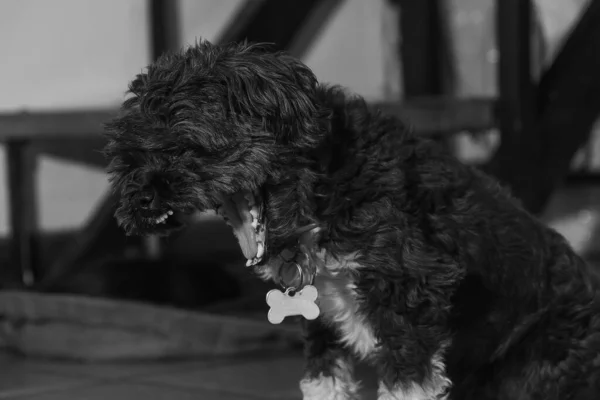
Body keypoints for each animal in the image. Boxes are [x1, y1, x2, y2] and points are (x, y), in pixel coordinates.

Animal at [103, 41, 600, 400]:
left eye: (181, 142)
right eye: (129, 155)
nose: (140, 199)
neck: (323, 196)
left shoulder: (415, 294)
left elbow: (407, 385)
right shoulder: (320, 321)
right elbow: (323, 383)